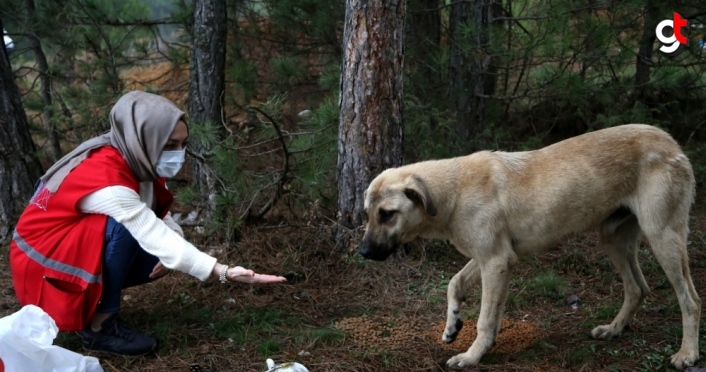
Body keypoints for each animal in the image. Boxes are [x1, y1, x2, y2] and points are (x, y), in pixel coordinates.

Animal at [360, 124, 700, 370]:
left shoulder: (496, 263)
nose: (363, 253)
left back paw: (687, 353)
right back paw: (613, 330)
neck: (454, 192)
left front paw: (471, 357)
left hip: (663, 237)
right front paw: (452, 325)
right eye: (367, 213)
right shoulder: (488, 258)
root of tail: (672, 143)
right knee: (637, 288)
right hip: (614, 239)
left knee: (690, 300)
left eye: (387, 214)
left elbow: (485, 320)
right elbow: (455, 285)